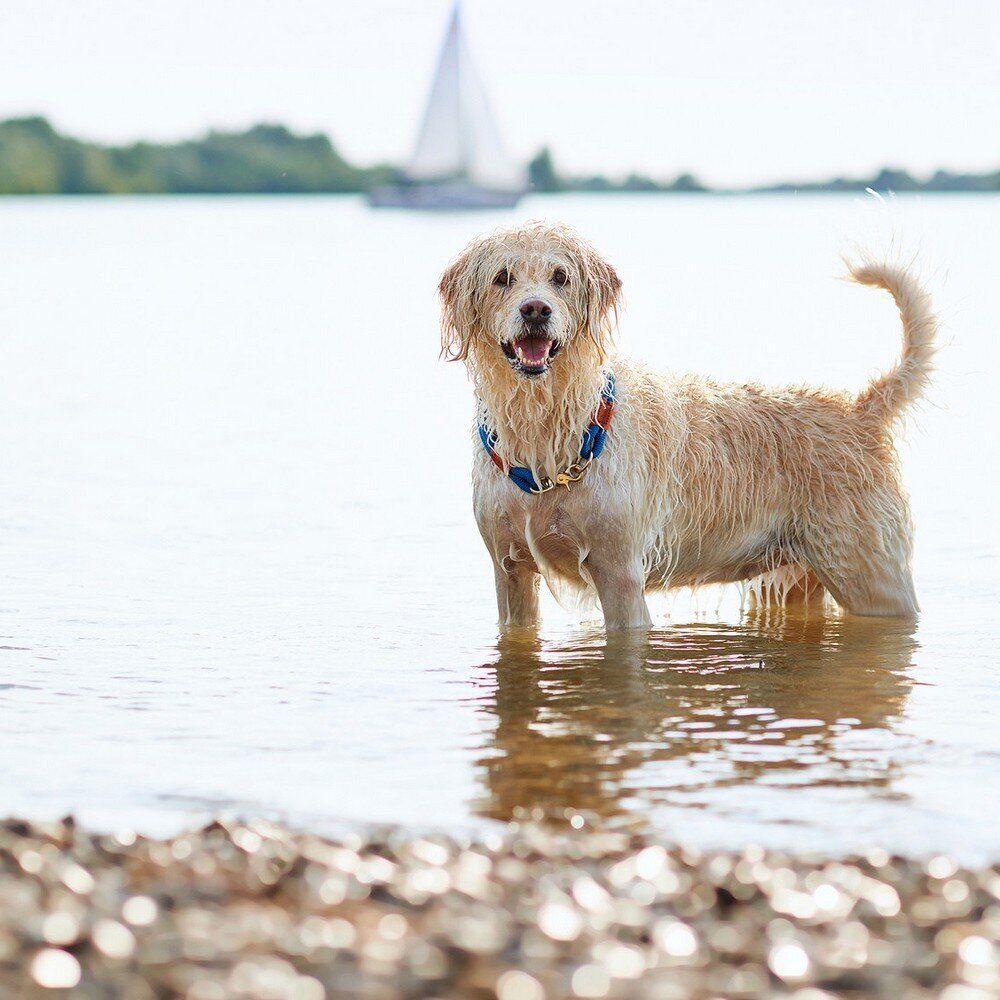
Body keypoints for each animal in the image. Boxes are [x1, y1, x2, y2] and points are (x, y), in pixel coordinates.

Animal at [440, 223, 936, 628]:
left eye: (560, 277)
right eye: (502, 277)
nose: (536, 310)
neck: (545, 423)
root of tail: (861, 410)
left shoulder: (620, 576)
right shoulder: (510, 573)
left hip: (871, 579)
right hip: (800, 579)